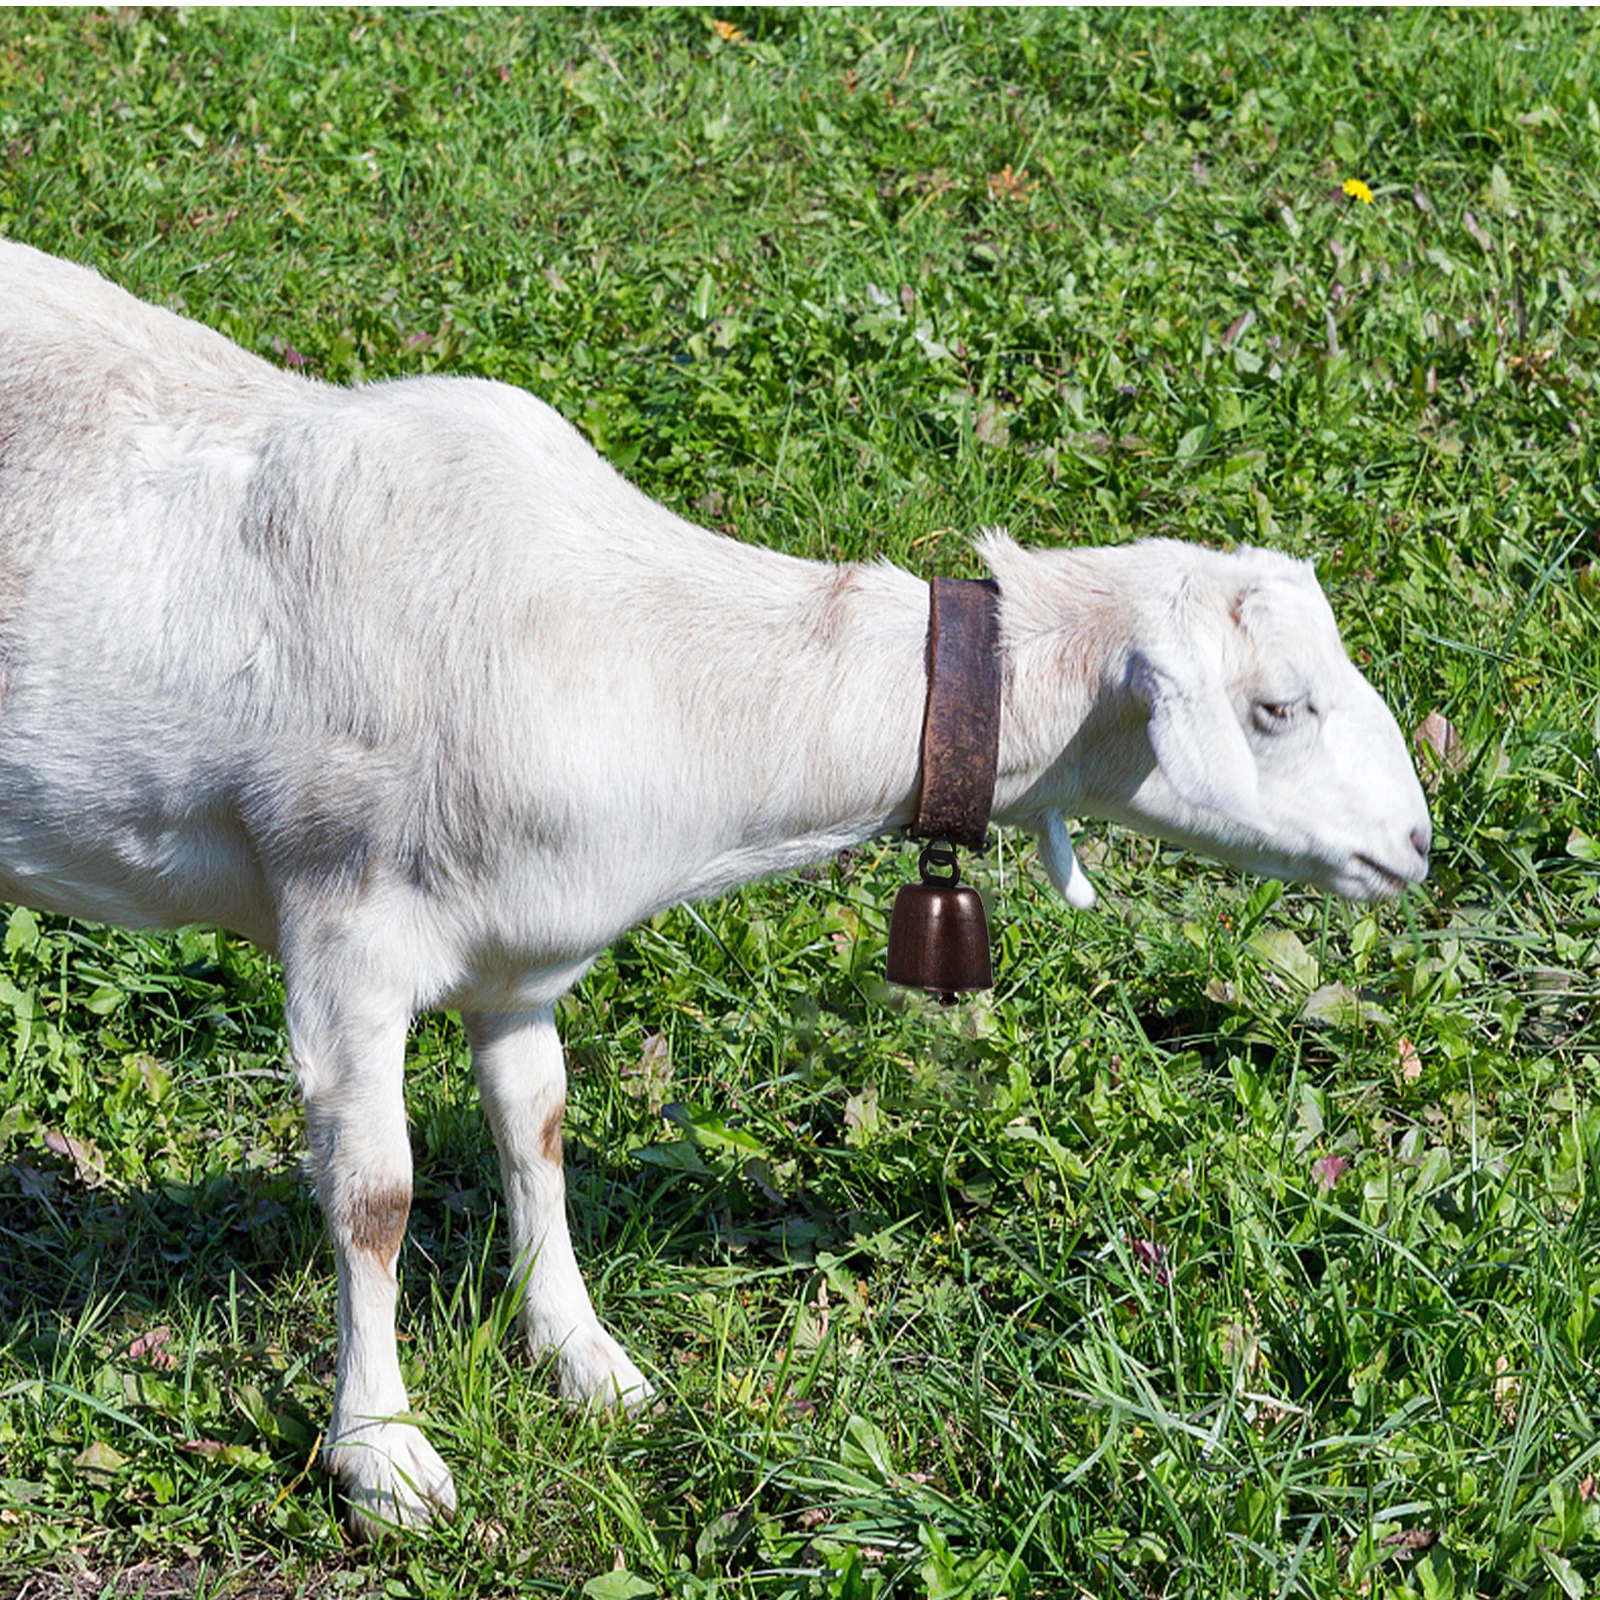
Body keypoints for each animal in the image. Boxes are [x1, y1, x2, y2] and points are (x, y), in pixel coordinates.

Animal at [0, 240, 1432, 1537]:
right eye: (1277, 707)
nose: (1416, 844)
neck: (623, 644)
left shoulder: (515, 952)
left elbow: (537, 1128)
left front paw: (583, 1357)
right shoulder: (341, 932)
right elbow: (376, 1197)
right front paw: (383, 1454)